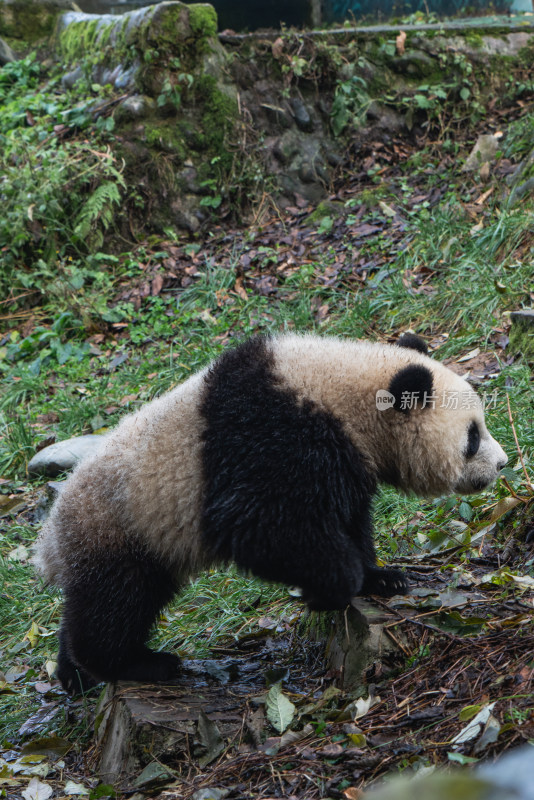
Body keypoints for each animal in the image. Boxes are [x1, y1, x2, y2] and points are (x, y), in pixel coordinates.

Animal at [34, 332, 510, 692]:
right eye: (473, 436)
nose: (503, 464)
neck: (341, 393)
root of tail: (48, 545)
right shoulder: (273, 437)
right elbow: (262, 529)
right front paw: (327, 590)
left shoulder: (344, 462)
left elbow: (349, 519)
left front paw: (381, 577)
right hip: (120, 530)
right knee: (119, 603)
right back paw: (134, 665)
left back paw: (73, 674)